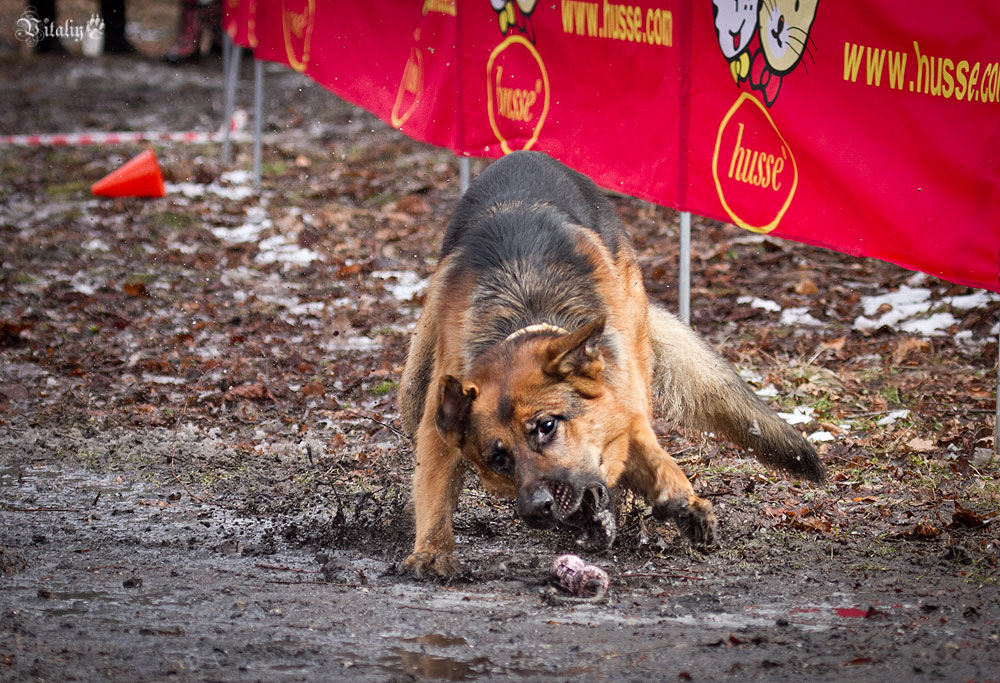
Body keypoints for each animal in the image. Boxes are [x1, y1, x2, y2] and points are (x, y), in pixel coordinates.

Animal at [396, 151, 820, 576]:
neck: (525, 311)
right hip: (416, 387)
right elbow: (434, 486)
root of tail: (526, 154)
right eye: (499, 459)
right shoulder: (440, 425)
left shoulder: (626, 399)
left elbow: (650, 454)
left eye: (546, 427)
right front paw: (432, 549)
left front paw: (680, 500)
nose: (536, 510)